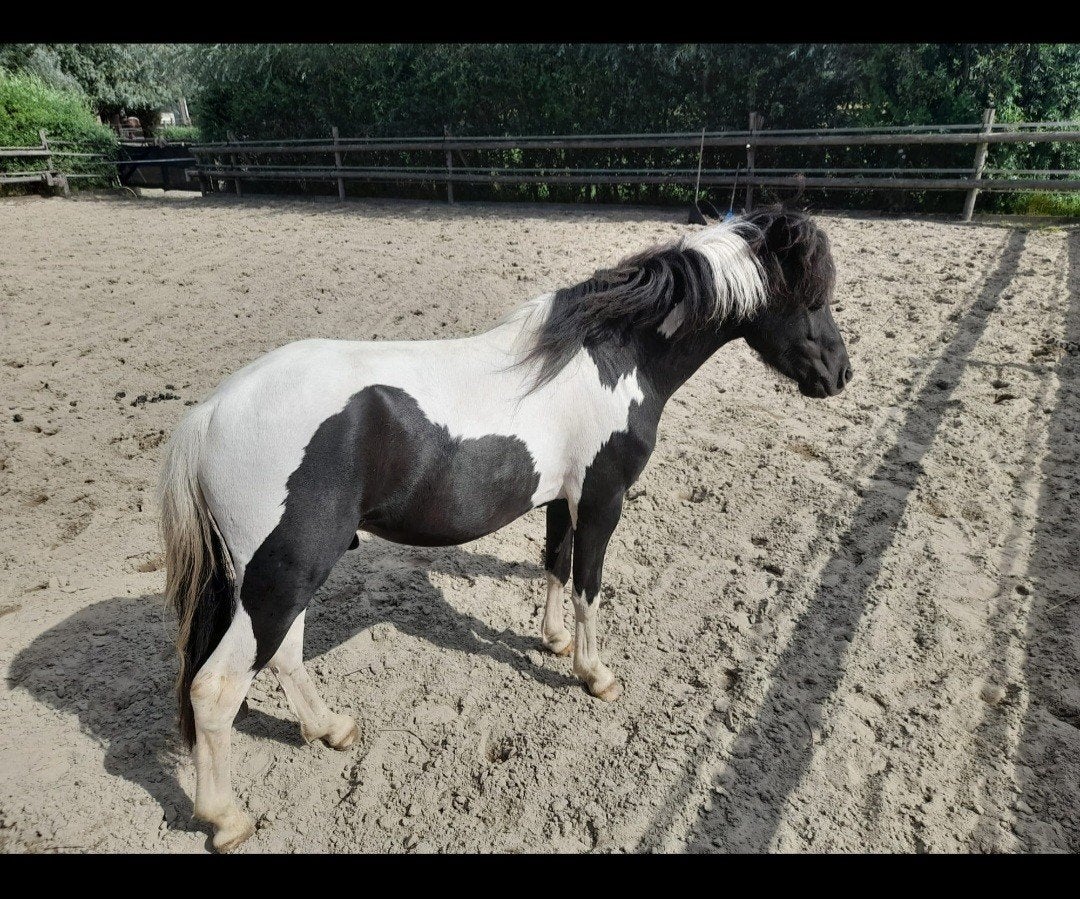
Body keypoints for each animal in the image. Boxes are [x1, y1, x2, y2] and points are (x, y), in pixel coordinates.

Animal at [158, 207, 851, 851]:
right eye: (812, 299)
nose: (839, 375)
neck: (612, 357)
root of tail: (209, 413)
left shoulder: (563, 498)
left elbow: (555, 564)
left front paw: (554, 641)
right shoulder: (603, 498)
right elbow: (589, 586)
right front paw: (595, 675)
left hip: (286, 578)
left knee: (284, 656)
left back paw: (332, 729)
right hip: (284, 575)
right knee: (216, 689)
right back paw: (226, 818)